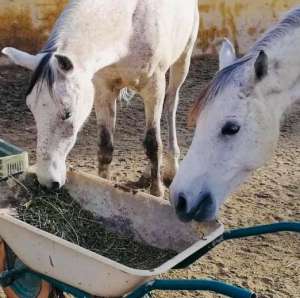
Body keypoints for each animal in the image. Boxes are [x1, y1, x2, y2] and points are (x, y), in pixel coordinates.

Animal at [2, 0, 200, 197]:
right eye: (31, 108)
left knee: (171, 105)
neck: (130, 28)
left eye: (67, 113)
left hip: (182, 61)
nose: (47, 182)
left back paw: (171, 168)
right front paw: (104, 183)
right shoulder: (103, 89)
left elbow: (153, 143)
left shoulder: (154, 88)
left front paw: (156, 191)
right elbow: (105, 147)